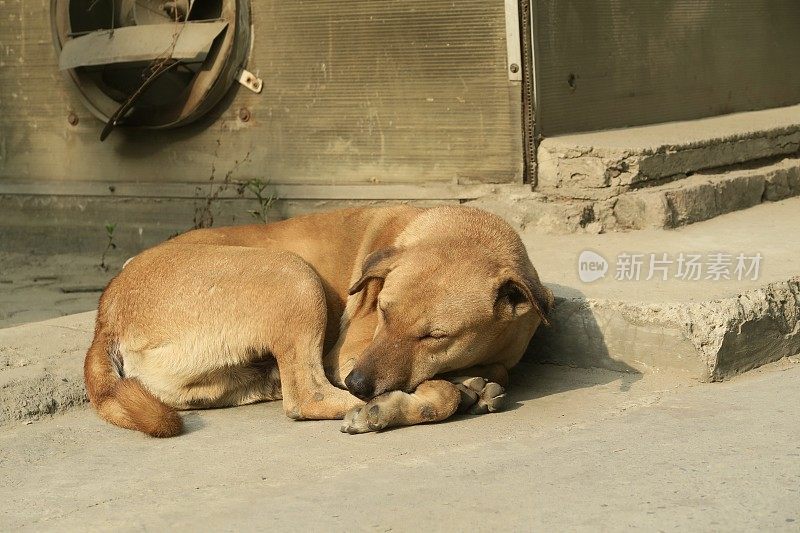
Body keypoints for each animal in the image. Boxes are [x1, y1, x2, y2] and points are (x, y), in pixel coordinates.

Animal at [84, 206, 552, 434]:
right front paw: (415, 401)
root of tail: (107, 311)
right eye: (383, 312)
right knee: (306, 397)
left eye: (435, 336)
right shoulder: (348, 356)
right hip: (293, 274)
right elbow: (441, 393)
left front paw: (471, 383)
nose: (358, 384)